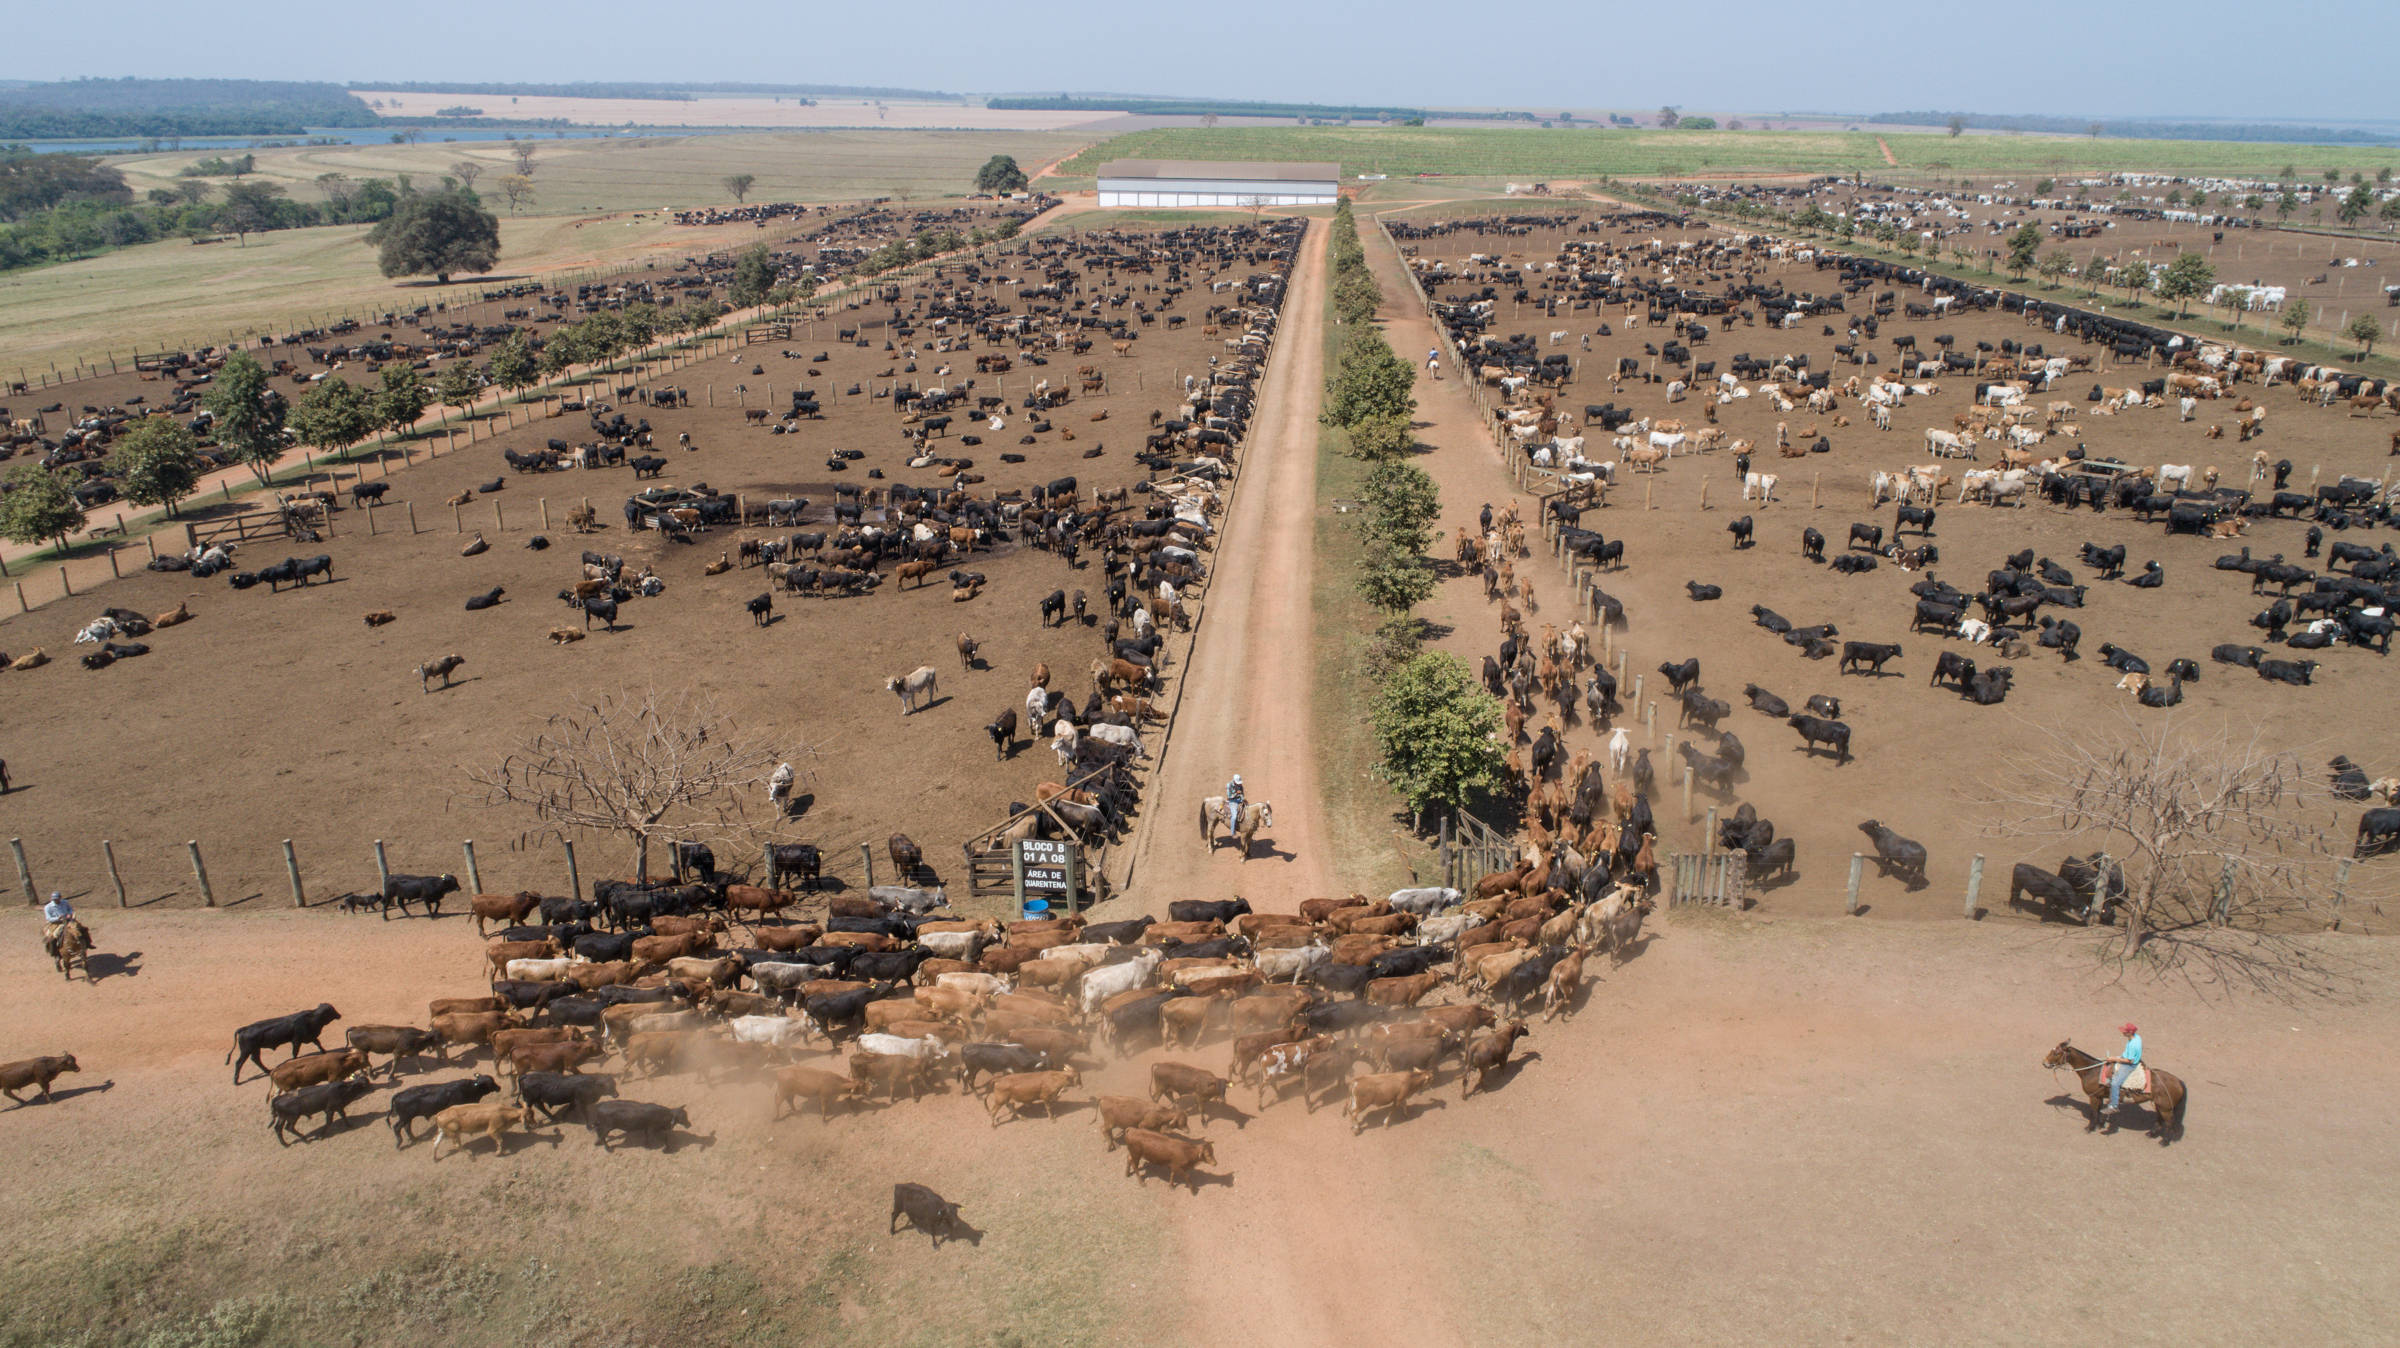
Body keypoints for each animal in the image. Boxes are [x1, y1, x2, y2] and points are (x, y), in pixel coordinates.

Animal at [2044, 1031, 2179, 1136]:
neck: (2093, 1071)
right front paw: (2099, 1125)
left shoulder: (2093, 1096)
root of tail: (2178, 1081)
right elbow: (2098, 1111)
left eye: (2056, 1053)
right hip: (2160, 1105)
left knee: (2169, 1122)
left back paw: (2164, 1141)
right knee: (2160, 1120)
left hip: (2165, 1108)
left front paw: (2089, 1128)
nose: (2044, 1063)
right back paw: (2151, 1134)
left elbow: (2094, 1112)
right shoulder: (2099, 1096)